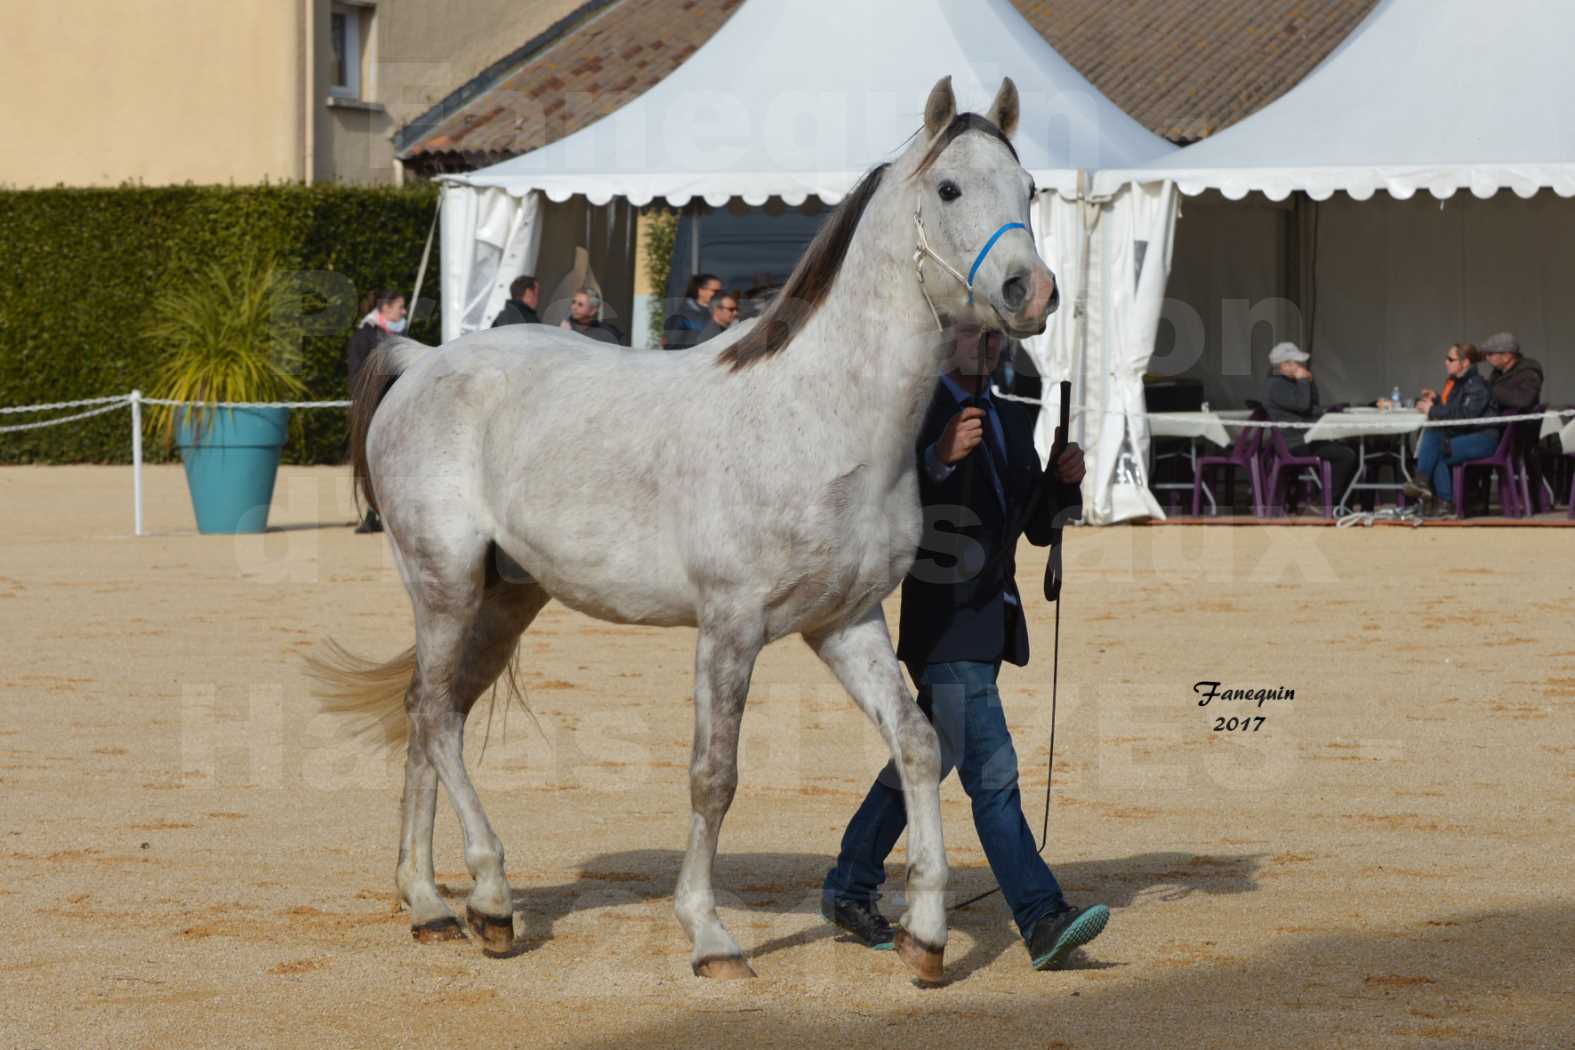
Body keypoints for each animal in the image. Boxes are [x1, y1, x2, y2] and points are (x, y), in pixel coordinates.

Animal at [311, 75, 1058, 988]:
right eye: (949, 188)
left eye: (1030, 189)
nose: (1033, 293)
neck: (820, 417)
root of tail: (422, 363)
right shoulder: (729, 627)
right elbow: (713, 775)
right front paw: (709, 937)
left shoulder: (845, 624)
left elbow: (916, 744)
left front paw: (924, 936)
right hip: (443, 583)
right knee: (436, 717)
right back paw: (484, 898)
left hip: (505, 598)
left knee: (430, 713)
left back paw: (428, 905)